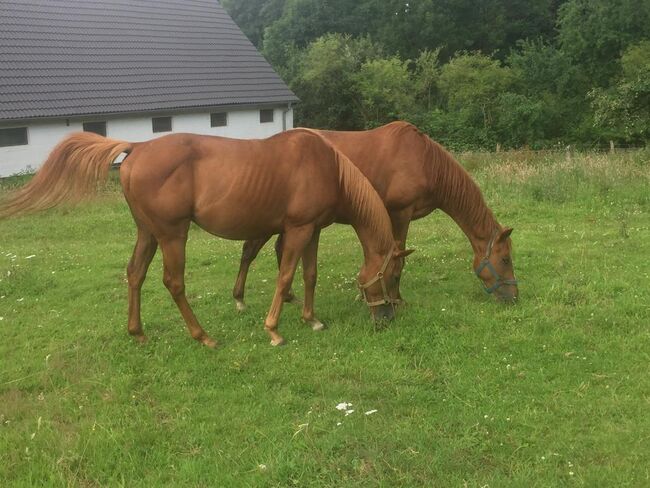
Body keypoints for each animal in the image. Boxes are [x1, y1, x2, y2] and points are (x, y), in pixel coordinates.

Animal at [0, 130, 404, 346]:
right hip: (172, 234)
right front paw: (274, 330)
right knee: (173, 282)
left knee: (135, 275)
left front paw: (311, 319)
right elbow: (285, 276)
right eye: (388, 276)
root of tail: (137, 148)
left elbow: (309, 275)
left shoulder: (313, 230)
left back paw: (138, 332)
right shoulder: (299, 230)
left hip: (147, 232)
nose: (386, 318)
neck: (327, 167)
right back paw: (202, 335)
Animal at [233, 120, 516, 306]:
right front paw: (397, 298)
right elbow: (399, 259)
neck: (425, 161)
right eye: (505, 260)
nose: (514, 296)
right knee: (249, 250)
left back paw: (288, 295)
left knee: (278, 249)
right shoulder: (400, 213)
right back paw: (239, 298)